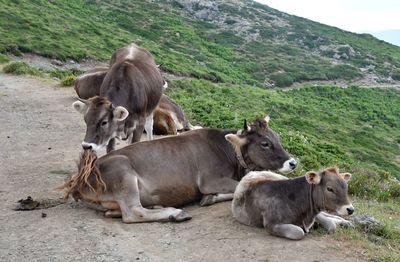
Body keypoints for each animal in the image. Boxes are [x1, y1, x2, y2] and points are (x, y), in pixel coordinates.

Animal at [59, 115, 296, 222]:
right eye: (265, 143)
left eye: (277, 137)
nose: (292, 162)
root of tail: (81, 177)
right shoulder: (209, 180)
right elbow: (239, 186)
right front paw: (210, 197)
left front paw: (210, 198)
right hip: (123, 173)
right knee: (133, 213)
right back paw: (175, 212)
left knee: (115, 211)